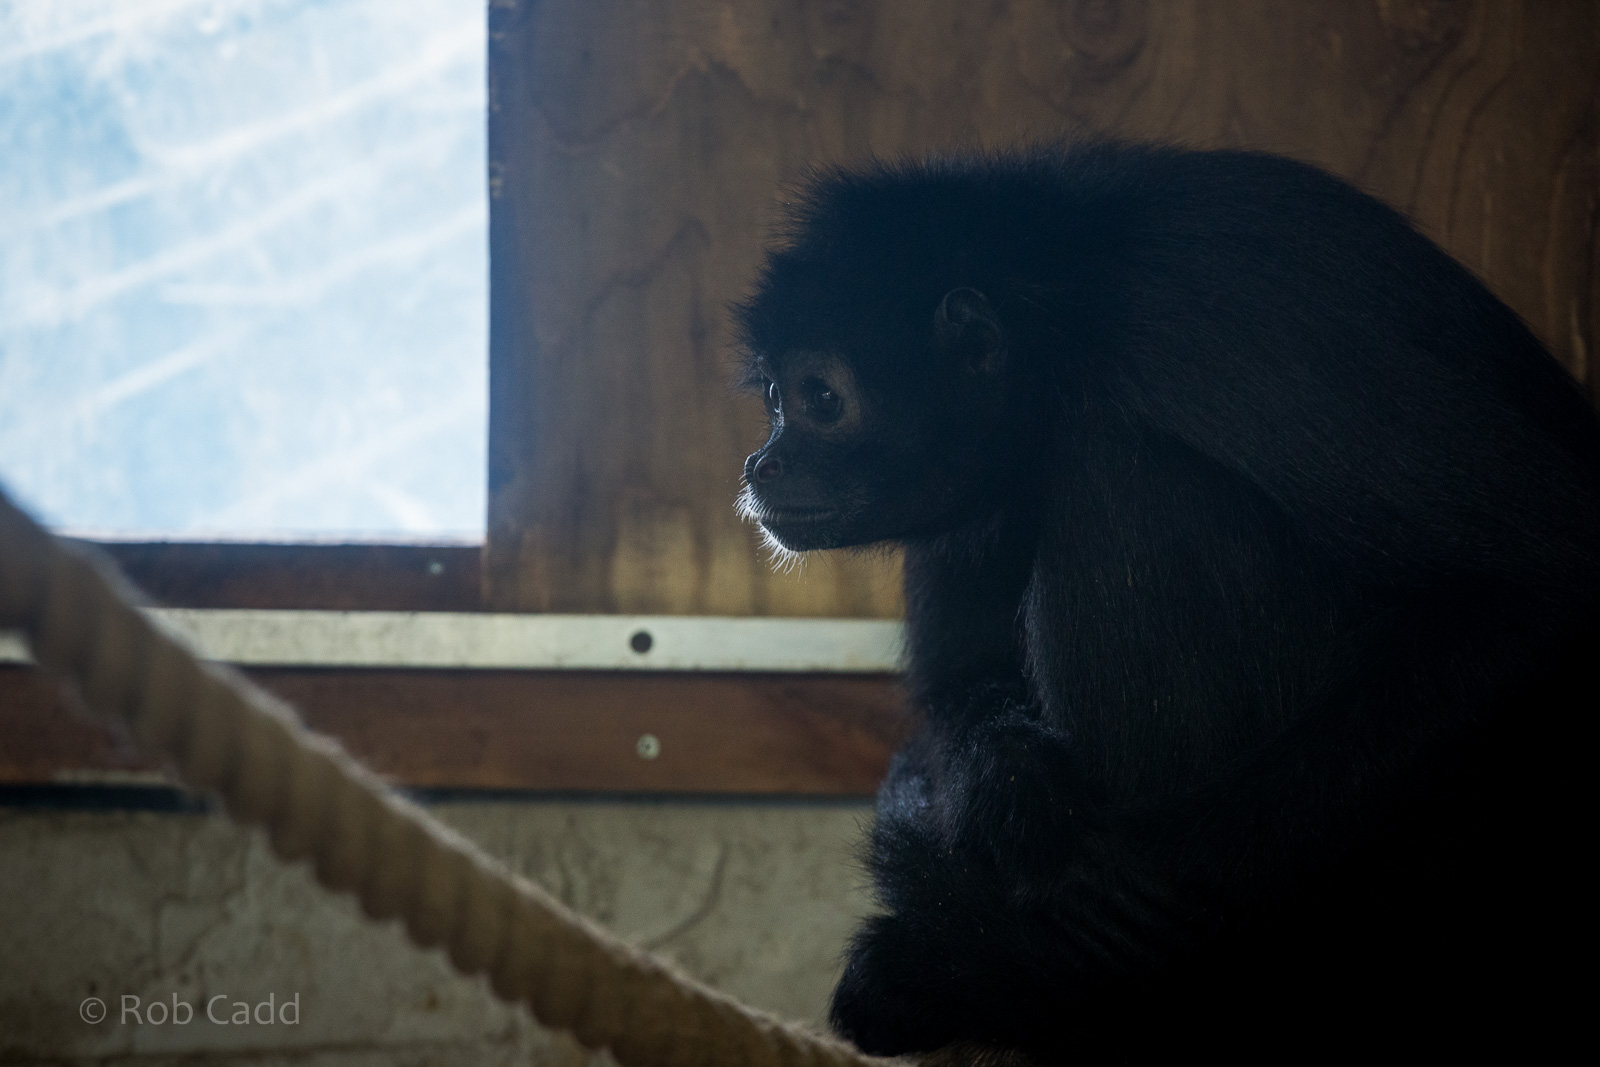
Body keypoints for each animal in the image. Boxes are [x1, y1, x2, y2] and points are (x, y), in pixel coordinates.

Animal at [732, 142, 1599, 1062]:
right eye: (777, 400)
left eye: (822, 400)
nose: (763, 462)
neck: (1074, 308)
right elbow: (961, 680)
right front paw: (1019, 801)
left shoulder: (1216, 327)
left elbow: (1540, 578)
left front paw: (1133, 877)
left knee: (1130, 477)